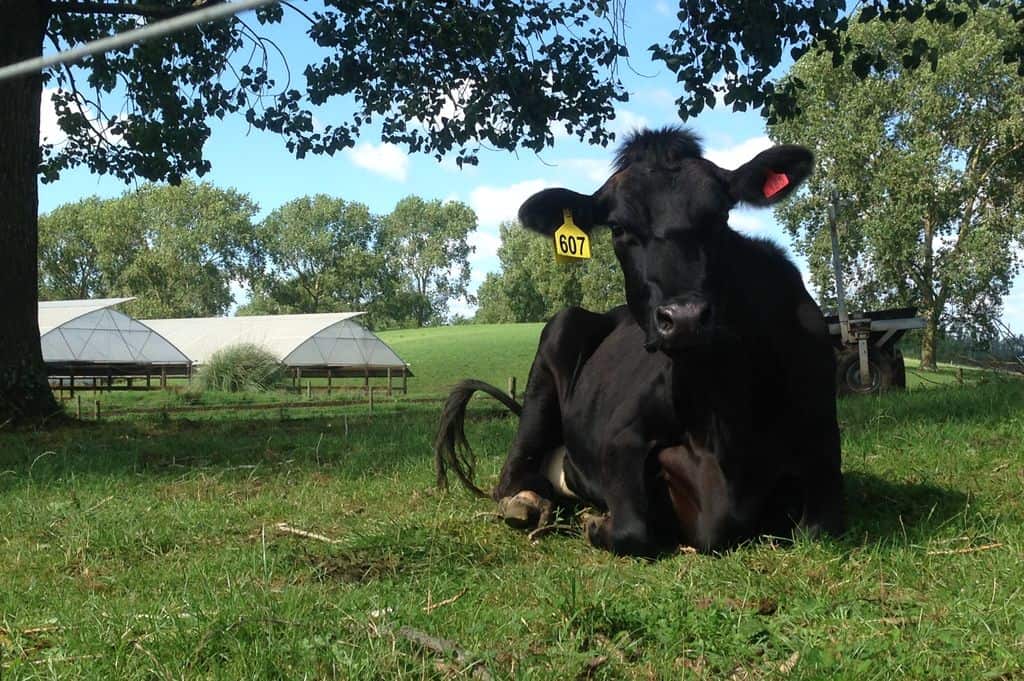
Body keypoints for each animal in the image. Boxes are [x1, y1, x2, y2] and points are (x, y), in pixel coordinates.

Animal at [432, 124, 839, 557]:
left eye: (721, 216)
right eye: (618, 228)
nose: (684, 318)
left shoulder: (823, 448)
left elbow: (817, 528)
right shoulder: (620, 436)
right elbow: (635, 530)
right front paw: (596, 525)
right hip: (557, 332)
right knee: (514, 474)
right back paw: (526, 502)